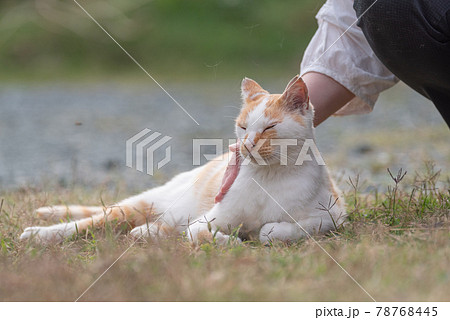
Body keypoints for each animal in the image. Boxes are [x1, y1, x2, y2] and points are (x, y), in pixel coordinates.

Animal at [19, 75, 346, 245]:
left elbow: (271, 231)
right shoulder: (210, 218)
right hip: (144, 203)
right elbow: (201, 232)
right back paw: (40, 234)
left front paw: (258, 233)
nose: (246, 144)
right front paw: (233, 241)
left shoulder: (332, 216)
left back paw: (148, 232)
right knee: (96, 220)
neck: (270, 177)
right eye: (242, 127)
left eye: (268, 128)